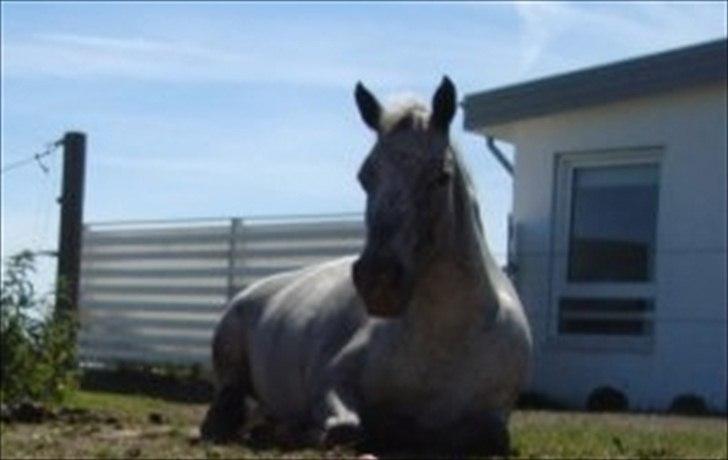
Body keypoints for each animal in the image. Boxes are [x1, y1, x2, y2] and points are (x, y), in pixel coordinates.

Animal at [200, 77, 532, 456]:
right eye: (364, 176)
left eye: (441, 176)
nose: (378, 280)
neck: (446, 340)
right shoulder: (332, 382)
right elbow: (345, 429)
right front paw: (295, 431)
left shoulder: (494, 419)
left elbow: (492, 437)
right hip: (231, 366)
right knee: (228, 403)